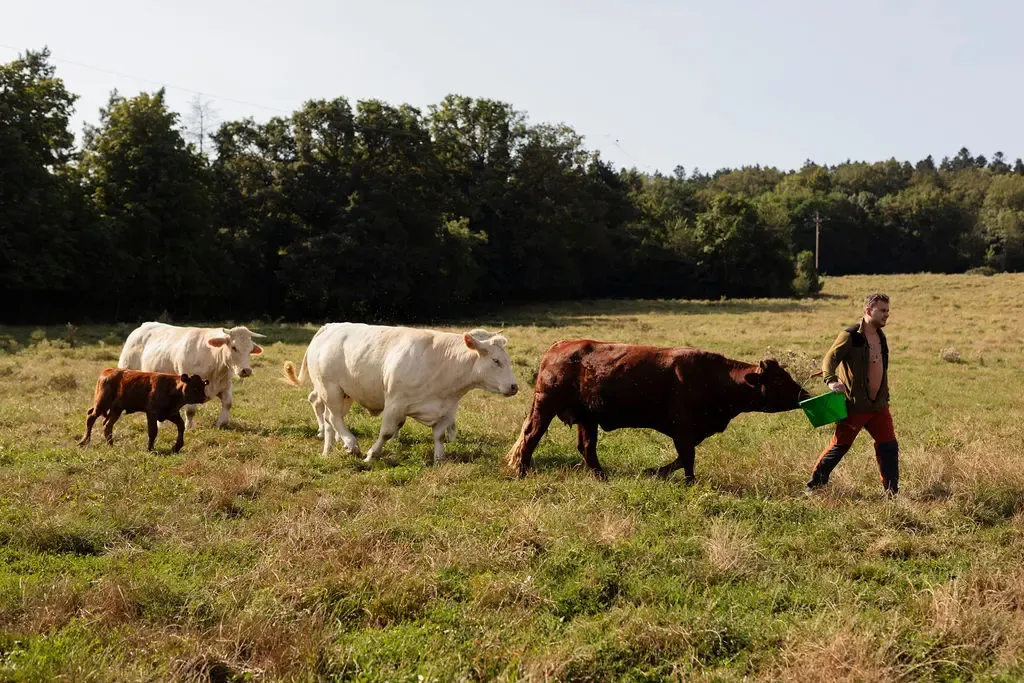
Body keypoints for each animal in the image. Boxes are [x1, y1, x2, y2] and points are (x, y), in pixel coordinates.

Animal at [78, 369, 210, 452]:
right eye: (194, 387)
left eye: (202, 387)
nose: (204, 398)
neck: (171, 388)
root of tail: (108, 371)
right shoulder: (151, 413)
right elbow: (153, 431)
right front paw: (150, 449)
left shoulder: (172, 413)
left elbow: (181, 426)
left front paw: (177, 447)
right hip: (101, 404)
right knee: (91, 417)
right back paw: (84, 441)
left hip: (116, 409)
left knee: (107, 425)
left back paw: (110, 444)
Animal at [117, 323, 265, 429]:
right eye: (234, 347)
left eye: (250, 349)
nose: (246, 370)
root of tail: (142, 327)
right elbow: (190, 410)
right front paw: (189, 427)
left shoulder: (226, 384)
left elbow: (228, 403)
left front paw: (221, 424)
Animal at [283, 323, 519, 464]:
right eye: (496, 361)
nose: (514, 387)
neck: (442, 362)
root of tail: (328, 327)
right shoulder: (395, 403)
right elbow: (387, 432)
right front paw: (371, 455)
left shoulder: (448, 408)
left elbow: (439, 434)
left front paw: (440, 459)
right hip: (329, 388)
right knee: (333, 417)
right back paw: (352, 444)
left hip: (345, 393)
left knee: (331, 419)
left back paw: (329, 449)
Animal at [505, 340, 811, 481]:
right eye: (779, 379)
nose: (805, 394)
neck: (713, 377)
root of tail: (559, 346)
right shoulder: (683, 430)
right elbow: (687, 460)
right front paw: (688, 482)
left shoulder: (690, 433)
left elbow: (681, 459)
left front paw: (655, 471)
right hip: (546, 406)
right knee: (531, 437)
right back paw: (522, 471)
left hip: (587, 417)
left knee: (587, 447)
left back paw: (601, 476)